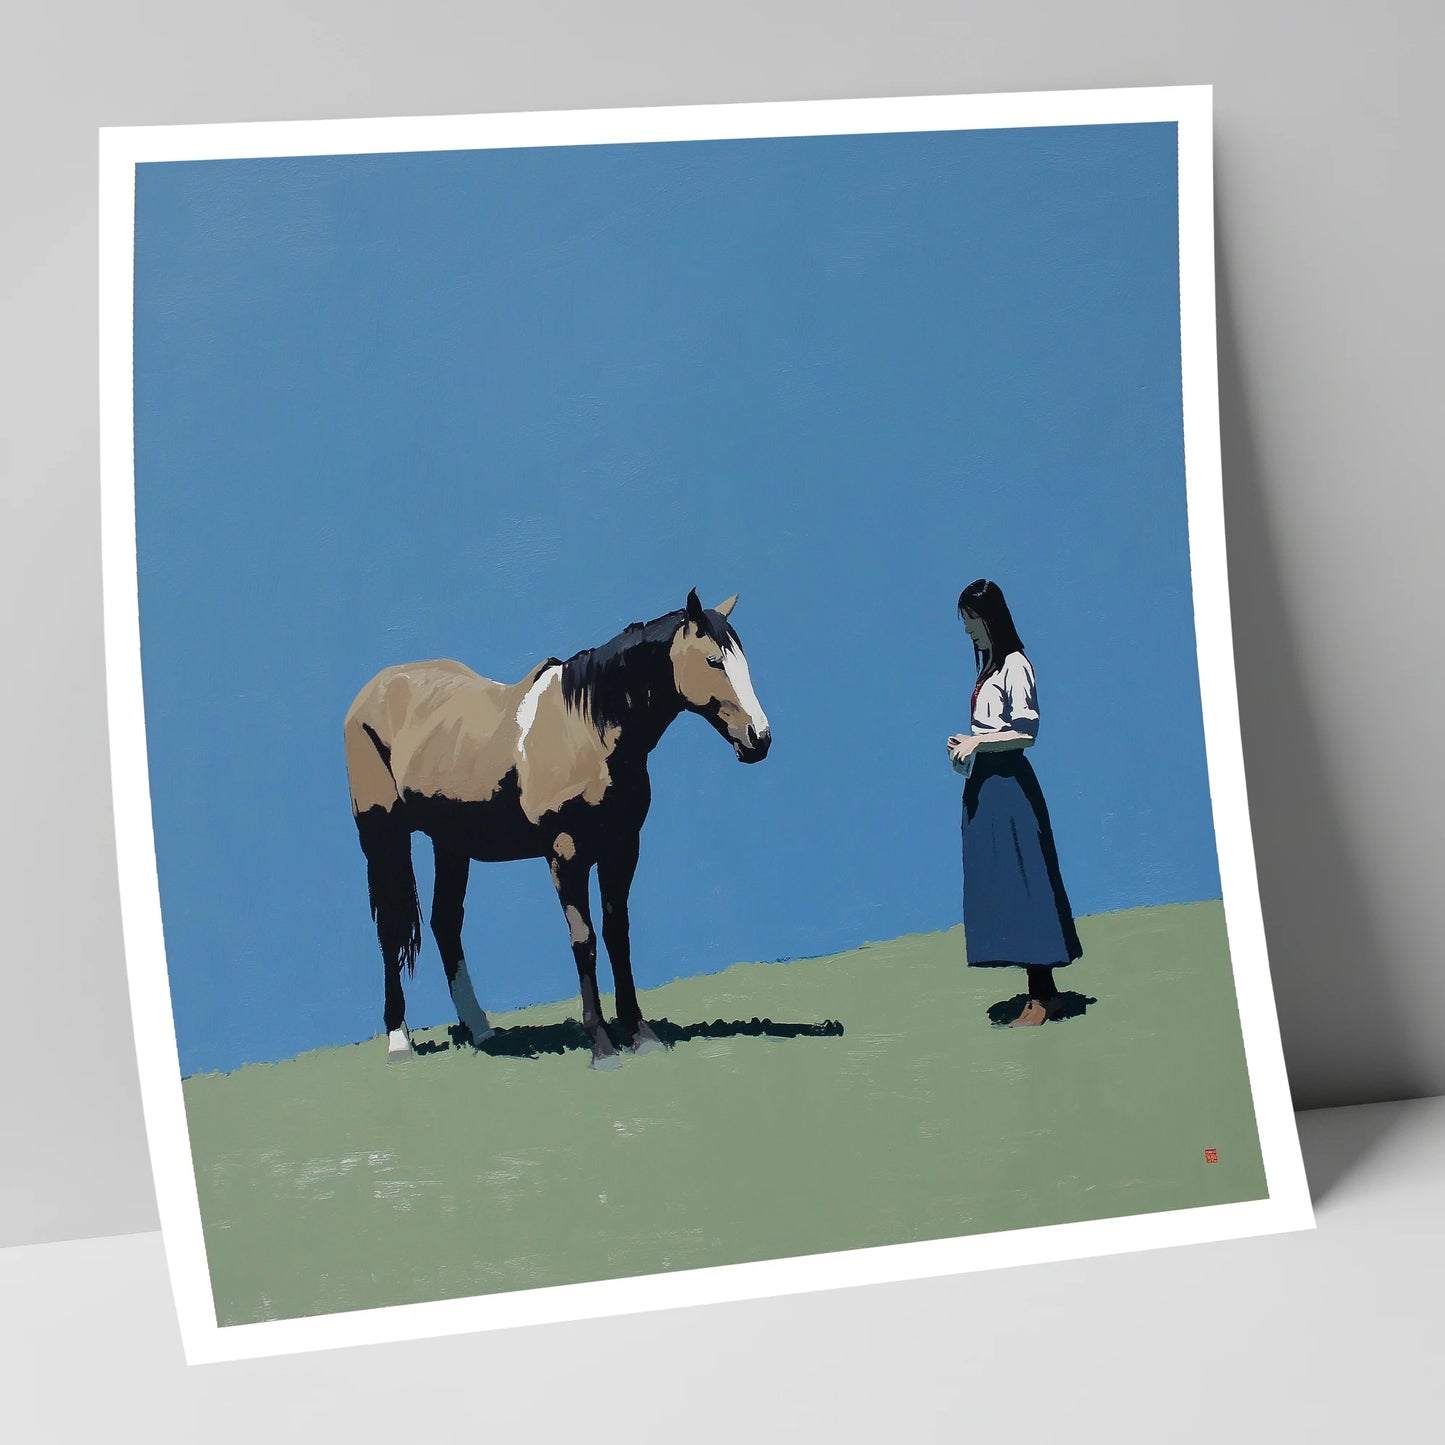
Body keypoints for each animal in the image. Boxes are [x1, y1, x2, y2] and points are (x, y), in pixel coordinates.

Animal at [343, 589, 772, 1069]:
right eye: (714, 660)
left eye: (742, 660)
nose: (759, 738)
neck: (587, 728)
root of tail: (373, 691)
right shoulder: (566, 854)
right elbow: (583, 939)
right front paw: (602, 1044)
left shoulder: (622, 847)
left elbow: (617, 932)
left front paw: (640, 1034)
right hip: (383, 835)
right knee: (391, 928)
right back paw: (400, 1041)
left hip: (450, 843)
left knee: (445, 921)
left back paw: (481, 1030)